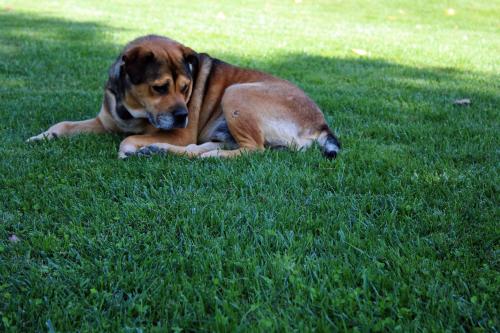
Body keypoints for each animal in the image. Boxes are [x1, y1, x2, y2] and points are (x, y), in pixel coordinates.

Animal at [28, 34, 340, 159]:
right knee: (204, 148)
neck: (132, 109)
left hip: (235, 93)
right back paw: (161, 150)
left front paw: (128, 150)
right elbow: (64, 125)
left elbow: (128, 140)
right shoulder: (105, 121)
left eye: (187, 87)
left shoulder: (180, 132)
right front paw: (42, 136)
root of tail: (321, 125)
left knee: (251, 150)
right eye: (160, 87)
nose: (183, 116)